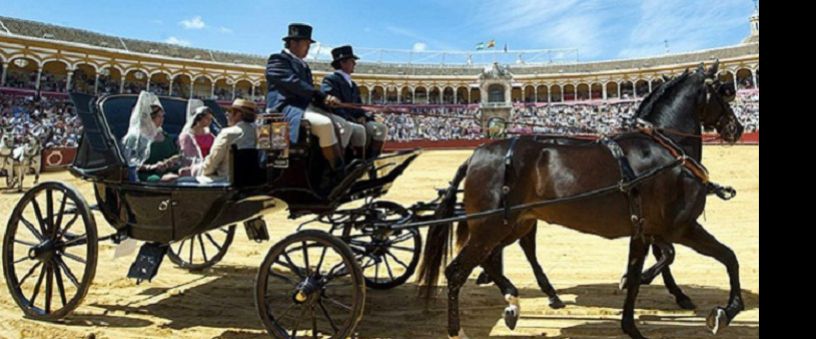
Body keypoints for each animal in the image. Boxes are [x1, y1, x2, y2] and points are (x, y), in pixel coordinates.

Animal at [420, 61, 744, 339]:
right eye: (724, 91)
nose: (737, 128)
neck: (664, 148)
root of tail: (475, 154)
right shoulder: (681, 227)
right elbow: (728, 257)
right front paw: (725, 311)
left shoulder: (646, 231)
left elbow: (644, 271)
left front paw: (635, 316)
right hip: (490, 227)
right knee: (457, 271)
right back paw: (462, 327)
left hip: (512, 224)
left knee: (495, 257)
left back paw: (516, 300)